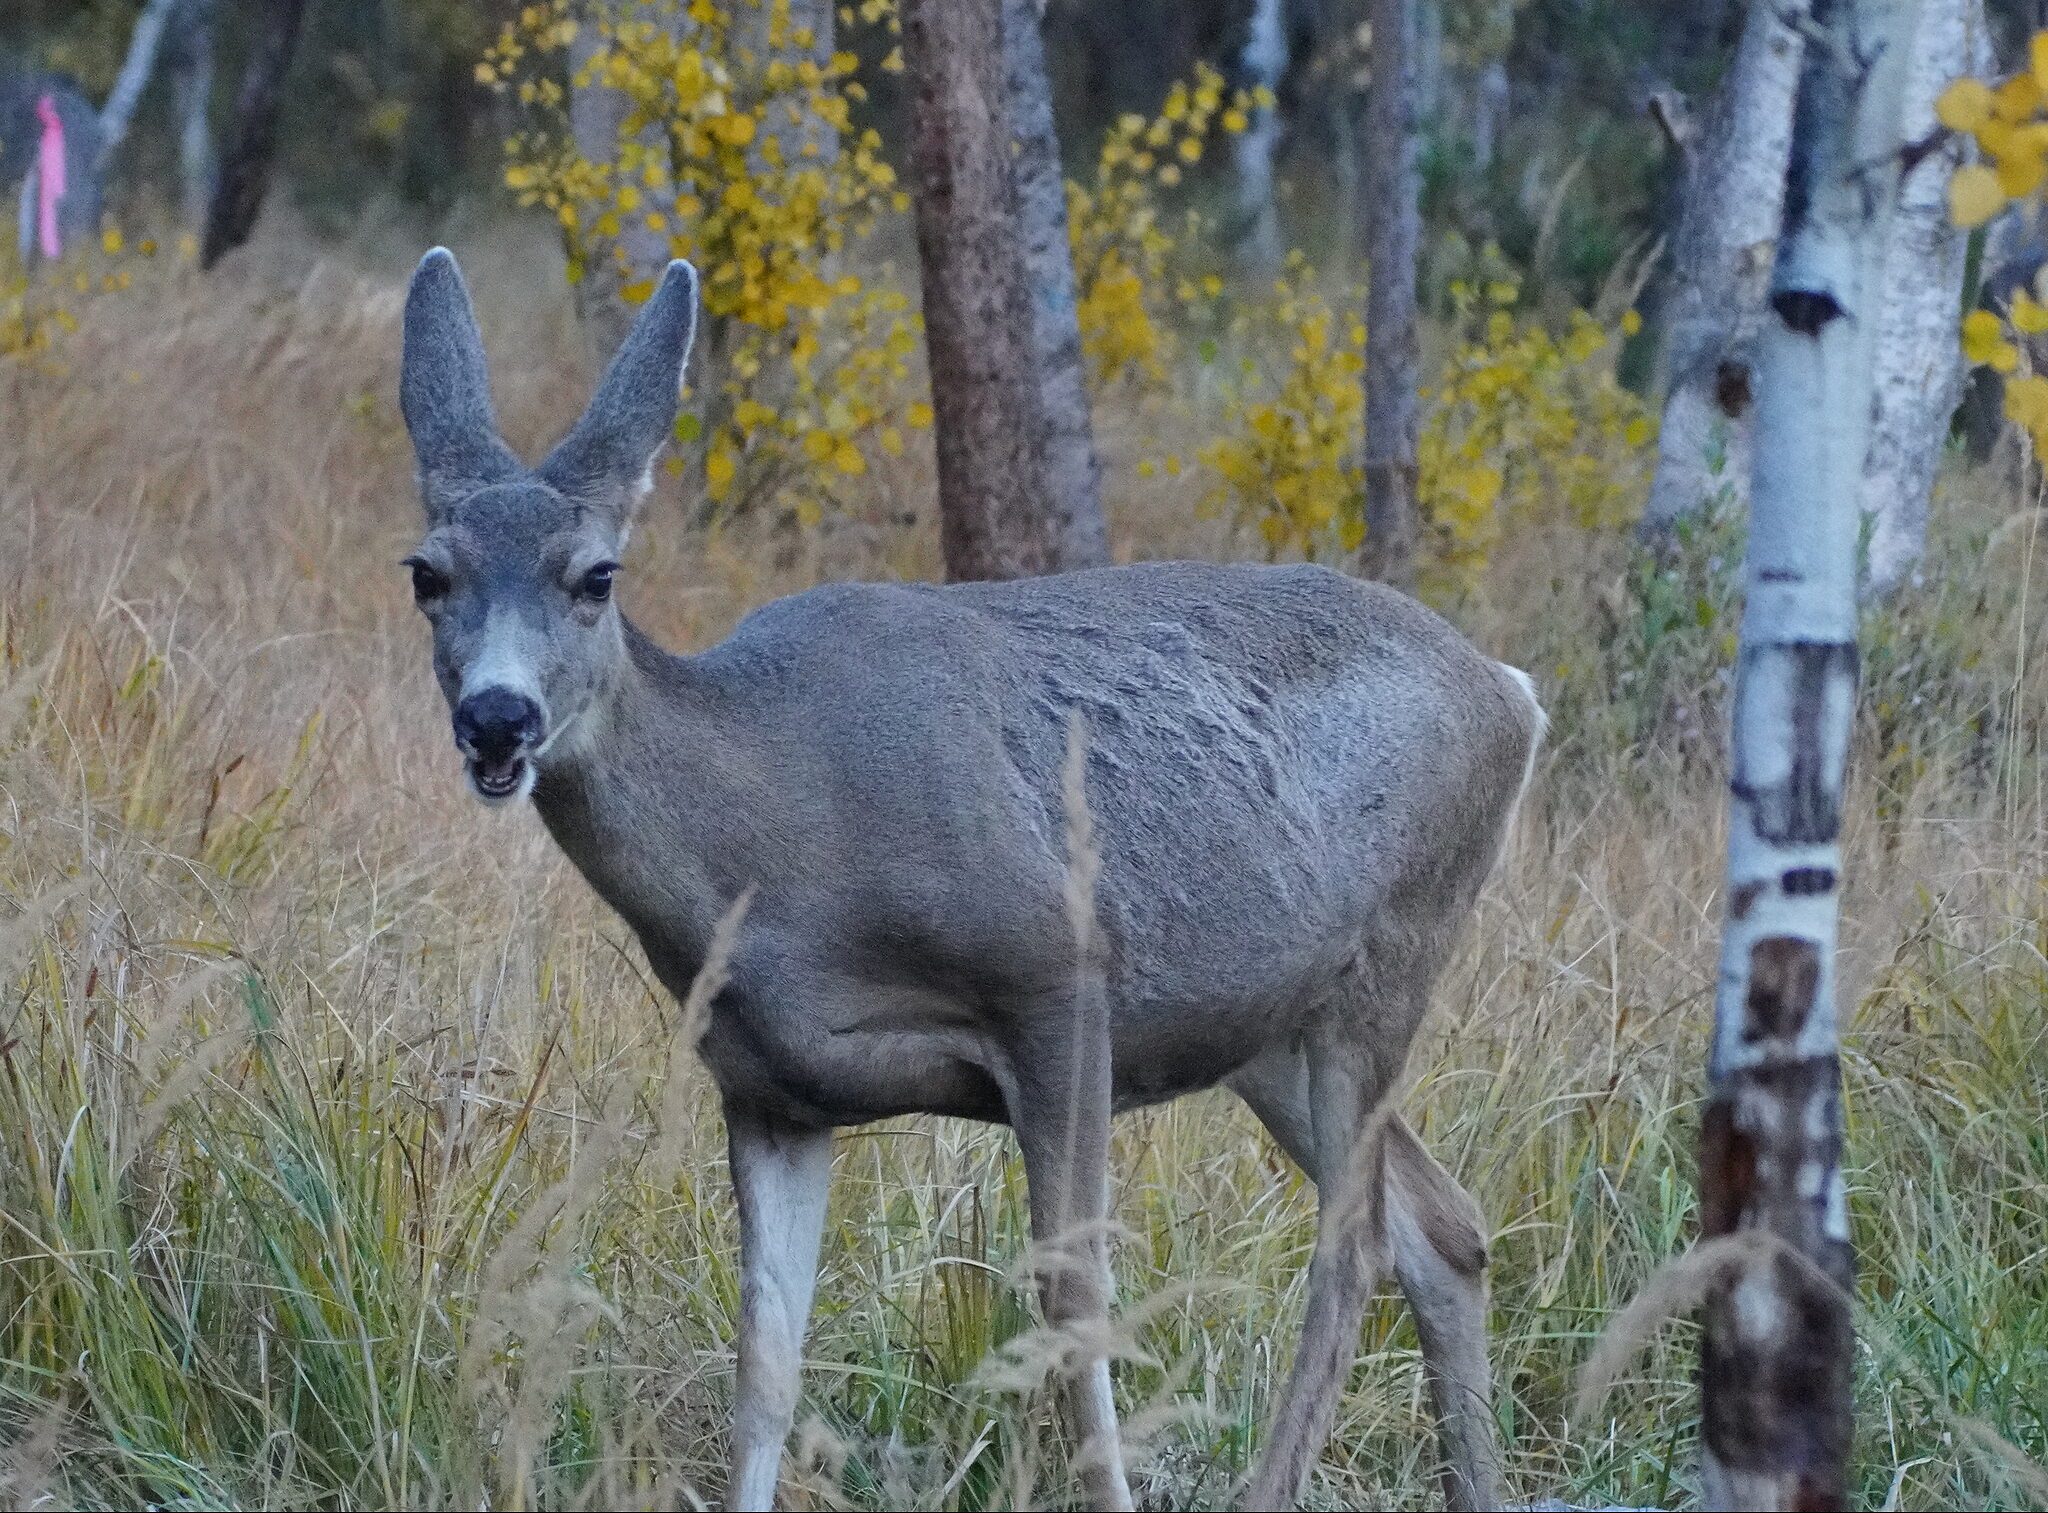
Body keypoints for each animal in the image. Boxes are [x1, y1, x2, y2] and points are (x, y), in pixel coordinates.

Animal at [395, 251, 1540, 1513]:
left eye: (595, 575)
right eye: (427, 574)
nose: (497, 718)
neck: (777, 840)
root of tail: (1511, 690)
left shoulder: (1058, 979)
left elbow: (1071, 1307)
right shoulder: (767, 1085)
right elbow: (765, 1361)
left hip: (1389, 956)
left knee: (1354, 1246)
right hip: (1268, 1028)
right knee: (1443, 1227)